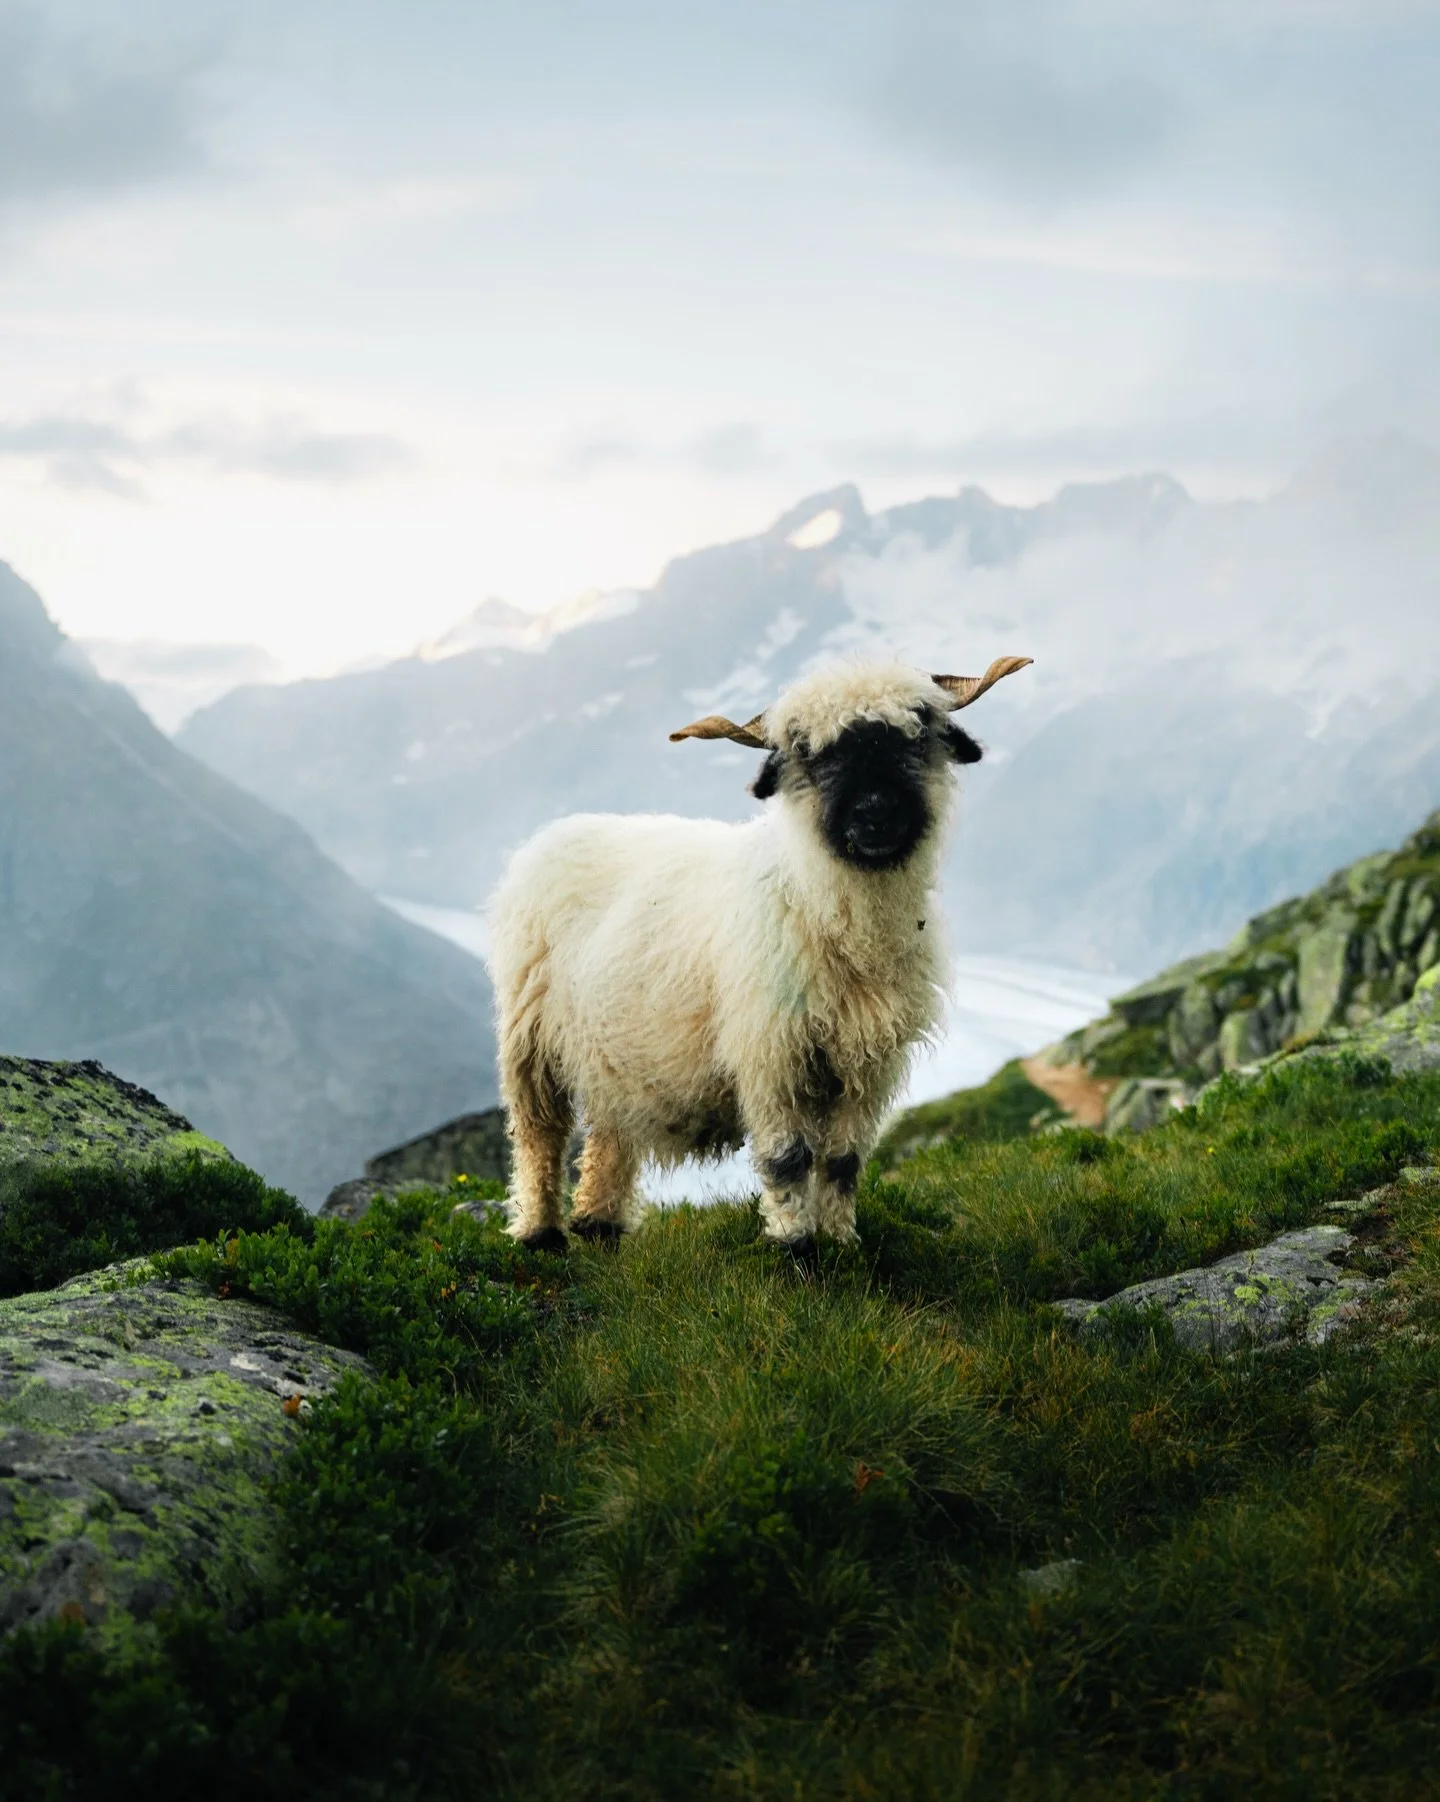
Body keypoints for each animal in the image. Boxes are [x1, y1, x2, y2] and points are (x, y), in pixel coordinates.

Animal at [488, 655, 1030, 1252]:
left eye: (916, 733)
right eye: (810, 753)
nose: (876, 814)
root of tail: (552, 834)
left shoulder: (868, 1063)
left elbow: (844, 1159)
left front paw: (840, 1242)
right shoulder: (770, 1052)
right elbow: (786, 1157)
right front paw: (794, 1243)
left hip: (610, 1049)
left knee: (609, 1130)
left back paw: (599, 1223)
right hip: (530, 1035)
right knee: (539, 1136)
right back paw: (540, 1232)